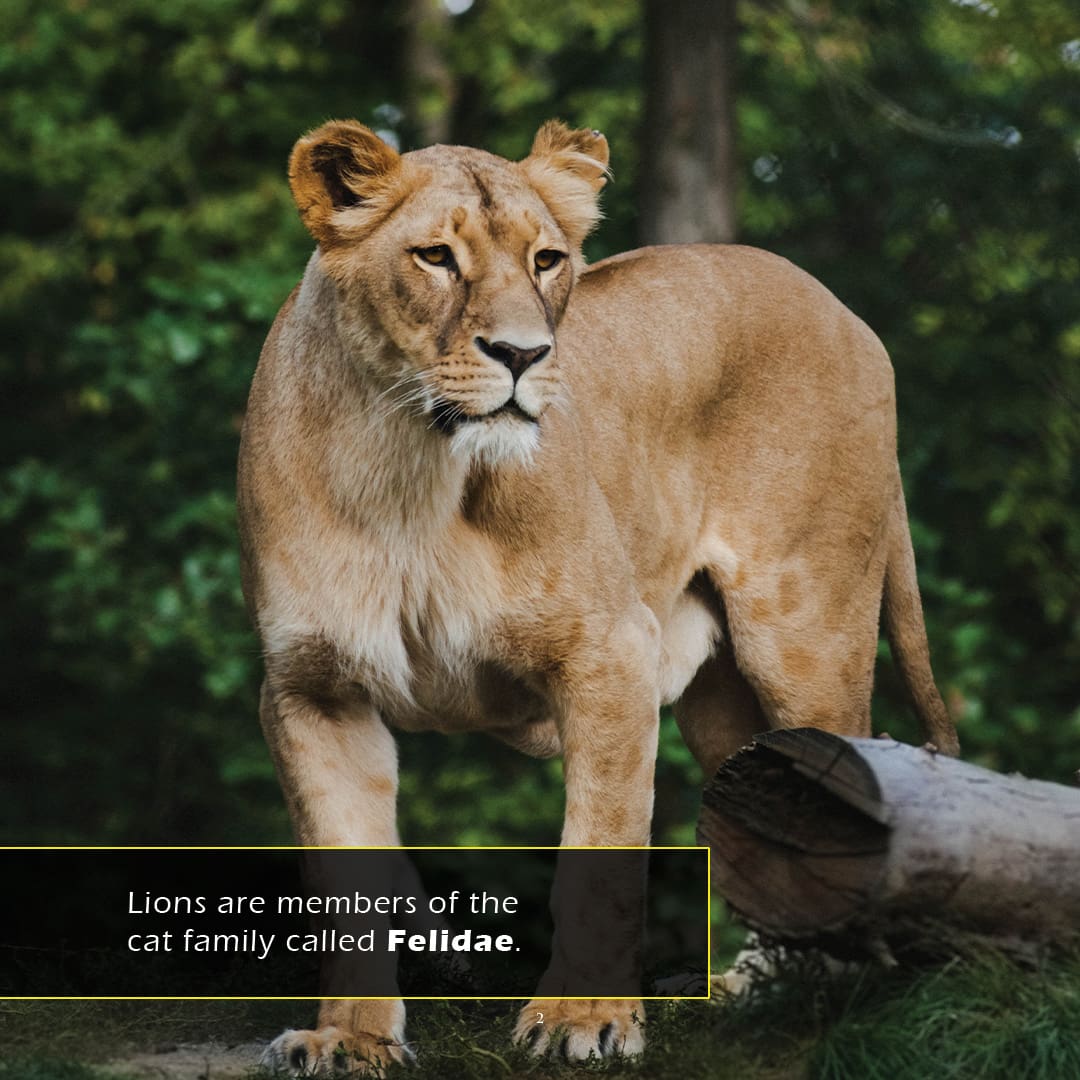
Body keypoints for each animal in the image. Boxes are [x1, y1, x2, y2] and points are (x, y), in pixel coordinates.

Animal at [237, 118, 958, 1074]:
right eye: (435, 257)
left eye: (546, 260)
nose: (522, 355)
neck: (406, 464)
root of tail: (844, 310)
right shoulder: (312, 688)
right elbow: (343, 875)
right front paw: (349, 1039)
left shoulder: (610, 651)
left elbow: (601, 850)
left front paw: (583, 1018)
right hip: (723, 698)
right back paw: (764, 986)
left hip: (806, 635)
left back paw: (830, 998)